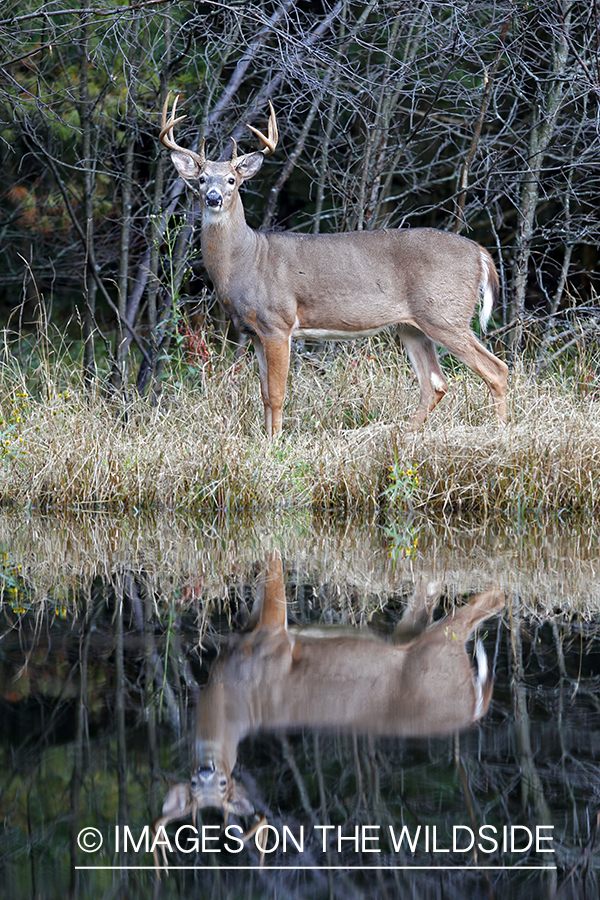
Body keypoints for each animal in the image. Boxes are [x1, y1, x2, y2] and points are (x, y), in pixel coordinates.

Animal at [152, 548, 504, 864]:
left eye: (224, 785)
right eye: (194, 786)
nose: (207, 769)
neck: (228, 697)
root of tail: (473, 709)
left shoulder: (274, 638)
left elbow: (273, 572)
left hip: (439, 650)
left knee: (490, 601)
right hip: (414, 637)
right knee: (430, 592)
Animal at [158, 95, 506, 440]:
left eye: (232, 179)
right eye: (201, 179)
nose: (213, 198)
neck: (248, 258)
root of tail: (479, 252)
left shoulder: (279, 322)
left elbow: (278, 393)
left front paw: (276, 443)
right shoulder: (254, 331)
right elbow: (264, 394)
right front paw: (267, 438)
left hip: (445, 313)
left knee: (496, 369)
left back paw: (499, 429)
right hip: (413, 326)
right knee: (435, 384)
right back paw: (401, 434)